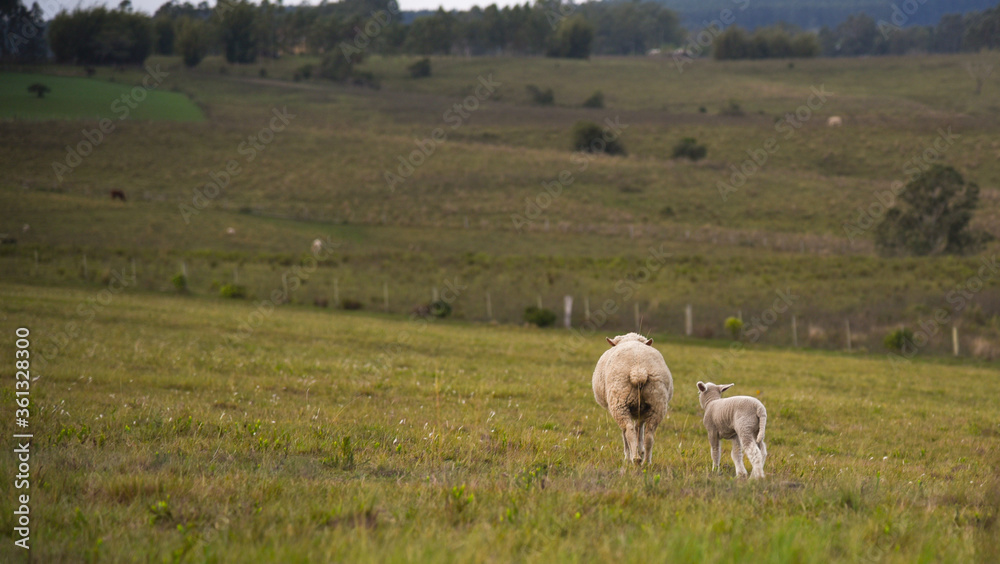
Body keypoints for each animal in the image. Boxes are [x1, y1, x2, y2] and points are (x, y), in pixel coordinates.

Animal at [592, 333, 673, 466]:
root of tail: (638, 371)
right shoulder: (642, 411)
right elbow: (639, 429)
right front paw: (640, 450)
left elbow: (626, 432)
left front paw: (629, 454)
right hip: (657, 402)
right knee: (649, 435)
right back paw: (646, 461)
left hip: (620, 403)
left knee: (628, 430)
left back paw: (633, 458)